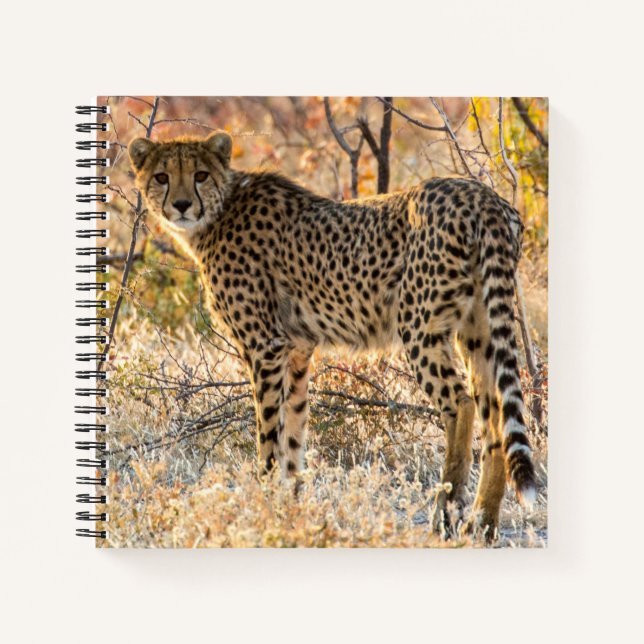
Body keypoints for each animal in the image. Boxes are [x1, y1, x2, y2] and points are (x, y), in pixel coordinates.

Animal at [128, 130, 536, 539]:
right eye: (162, 176)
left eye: (200, 175)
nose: (181, 205)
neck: (220, 210)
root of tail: (480, 194)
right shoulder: (296, 350)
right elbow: (293, 432)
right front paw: (291, 508)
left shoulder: (265, 347)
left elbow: (268, 435)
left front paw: (263, 503)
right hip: (478, 328)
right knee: (495, 413)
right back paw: (483, 522)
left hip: (419, 326)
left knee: (461, 403)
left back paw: (446, 513)